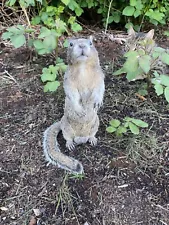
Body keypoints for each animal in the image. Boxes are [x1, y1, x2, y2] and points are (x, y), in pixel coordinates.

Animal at [42, 36, 104, 174]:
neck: (83, 67)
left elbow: (100, 89)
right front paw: (78, 109)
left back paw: (92, 139)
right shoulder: (68, 82)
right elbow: (72, 95)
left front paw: (98, 101)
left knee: (91, 134)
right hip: (66, 127)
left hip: (96, 124)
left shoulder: (100, 78)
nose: (81, 46)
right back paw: (70, 144)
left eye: (91, 43)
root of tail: (81, 138)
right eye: (70, 44)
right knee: (68, 137)